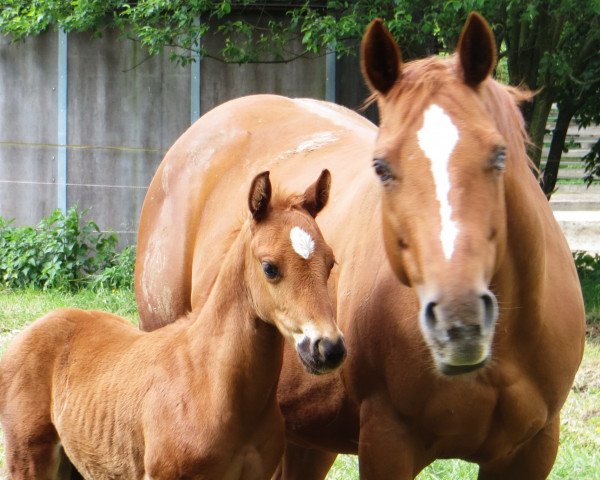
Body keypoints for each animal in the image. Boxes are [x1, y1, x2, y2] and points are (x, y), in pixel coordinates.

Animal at [0, 171, 344, 478]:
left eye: (330, 262)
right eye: (270, 267)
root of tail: (27, 332)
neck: (211, 382)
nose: (328, 348)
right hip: (28, 456)